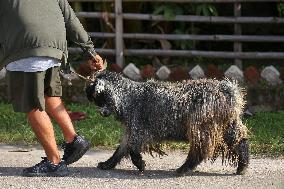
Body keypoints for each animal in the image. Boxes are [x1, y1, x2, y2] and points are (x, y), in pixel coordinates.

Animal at [86, 70, 248, 175]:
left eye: (99, 97)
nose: (102, 113)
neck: (128, 96)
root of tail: (227, 91)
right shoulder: (131, 128)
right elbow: (122, 148)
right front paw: (107, 164)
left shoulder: (139, 126)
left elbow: (132, 148)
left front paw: (141, 164)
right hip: (228, 124)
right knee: (240, 141)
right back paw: (242, 166)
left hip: (202, 124)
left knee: (200, 149)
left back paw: (183, 169)